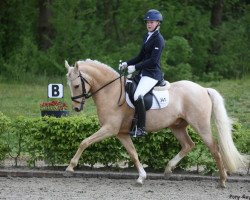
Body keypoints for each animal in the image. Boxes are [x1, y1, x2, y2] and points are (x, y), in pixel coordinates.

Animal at [64, 58, 248, 187]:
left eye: (76, 85)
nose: (76, 109)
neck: (111, 91)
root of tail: (203, 89)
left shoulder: (109, 128)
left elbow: (84, 142)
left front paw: (70, 167)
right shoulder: (121, 133)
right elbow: (133, 154)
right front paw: (141, 177)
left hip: (200, 125)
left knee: (214, 148)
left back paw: (222, 180)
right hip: (177, 126)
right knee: (188, 145)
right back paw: (168, 169)